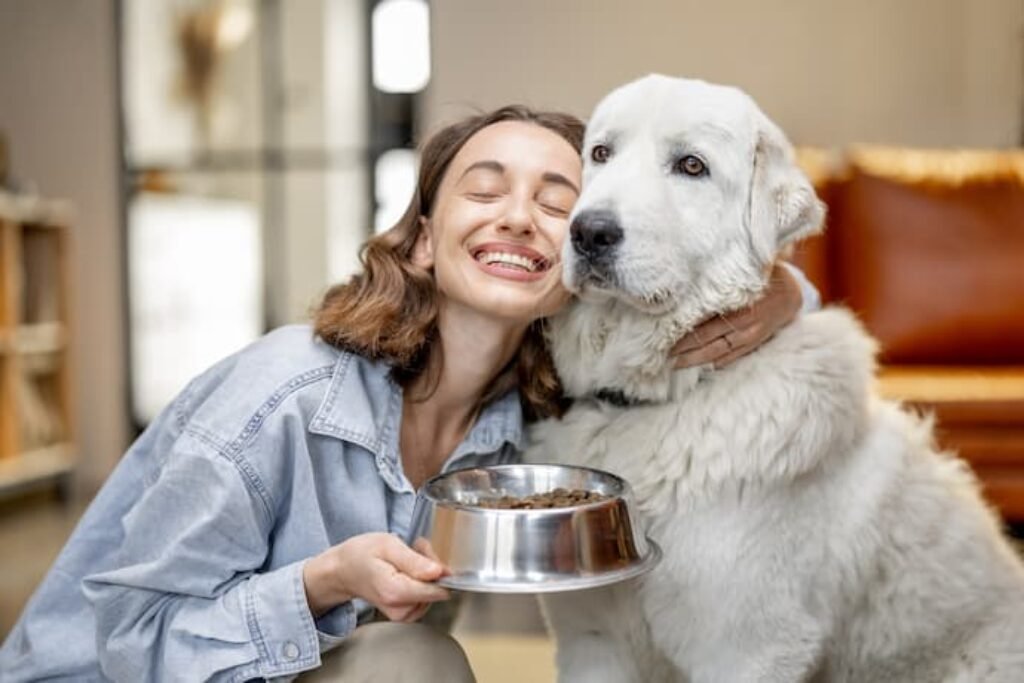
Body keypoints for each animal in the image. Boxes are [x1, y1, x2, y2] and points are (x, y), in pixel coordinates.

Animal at [528, 76, 1024, 683]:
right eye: (601, 153)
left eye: (691, 166)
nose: (589, 232)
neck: (666, 393)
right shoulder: (593, 639)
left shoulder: (748, 648)